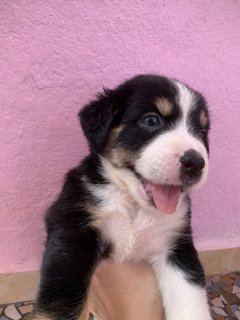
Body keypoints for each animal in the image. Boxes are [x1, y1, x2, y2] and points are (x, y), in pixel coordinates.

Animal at [33, 75, 212, 320]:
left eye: (202, 133)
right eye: (151, 120)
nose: (195, 163)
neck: (134, 207)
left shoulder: (177, 245)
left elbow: (191, 302)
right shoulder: (73, 230)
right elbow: (60, 304)